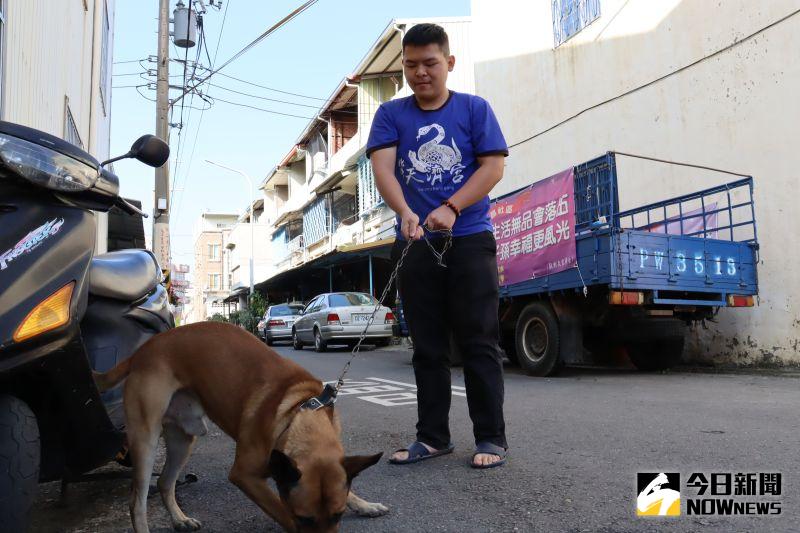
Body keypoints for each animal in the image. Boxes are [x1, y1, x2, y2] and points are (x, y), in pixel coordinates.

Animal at [95, 320, 390, 532]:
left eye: (338, 515)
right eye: (304, 519)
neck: (298, 413)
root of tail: (143, 351)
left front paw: (364, 504)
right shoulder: (244, 476)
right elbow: (280, 510)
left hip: (182, 441)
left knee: (165, 483)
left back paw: (180, 519)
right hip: (145, 441)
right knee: (137, 500)